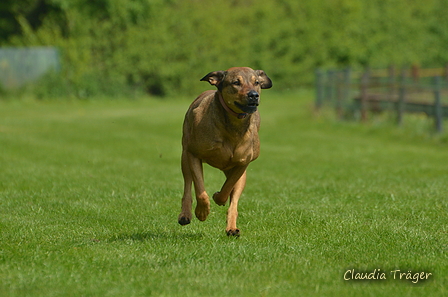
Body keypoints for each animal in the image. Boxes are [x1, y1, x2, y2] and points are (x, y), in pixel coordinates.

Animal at [177, 67, 272, 236]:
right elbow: (200, 190)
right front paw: (202, 212)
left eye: (256, 82)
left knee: (234, 198)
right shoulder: (193, 154)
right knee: (188, 184)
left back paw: (232, 228)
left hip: (241, 175)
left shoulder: (243, 163)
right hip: (185, 155)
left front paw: (218, 197)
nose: (254, 95)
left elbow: (228, 188)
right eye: (236, 82)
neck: (234, 125)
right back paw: (185, 215)